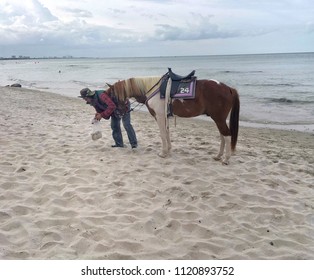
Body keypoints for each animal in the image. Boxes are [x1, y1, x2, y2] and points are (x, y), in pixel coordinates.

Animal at [105, 72, 240, 164]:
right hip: (218, 119)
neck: (153, 89)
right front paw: (168, 150)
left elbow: (162, 134)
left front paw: (163, 153)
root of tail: (229, 88)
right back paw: (218, 156)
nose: (118, 113)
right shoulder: (164, 117)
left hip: (219, 119)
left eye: (113, 96)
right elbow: (167, 133)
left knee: (227, 135)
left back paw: (226, 159)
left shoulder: (159, 116)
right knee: (223, 136)